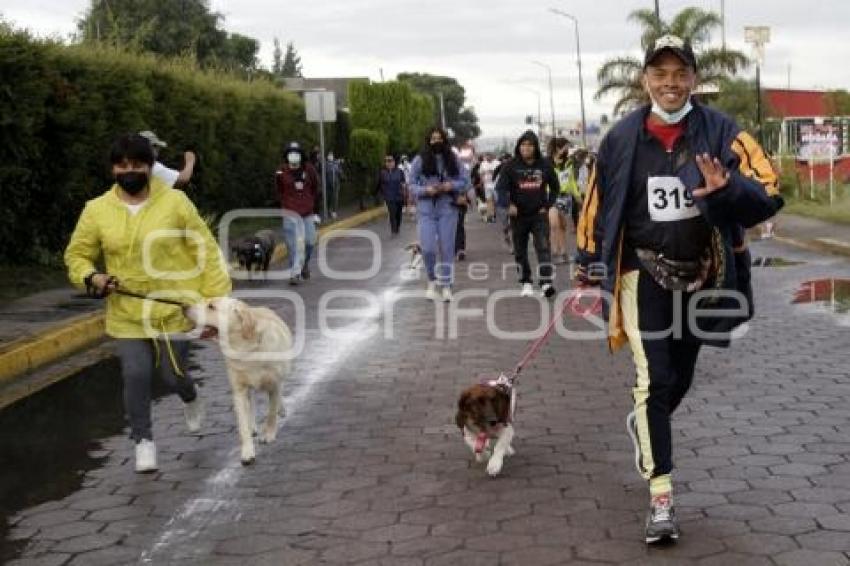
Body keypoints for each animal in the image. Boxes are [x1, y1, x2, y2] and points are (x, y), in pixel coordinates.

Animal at [184, 298, 294, 466]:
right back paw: (252, 426)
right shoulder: (239, 390)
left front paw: (268, 434)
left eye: (211, 306)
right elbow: (243, 424)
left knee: (279, 395)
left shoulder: (274, 384)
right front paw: (247, 452)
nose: (183, 306)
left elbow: (271, 412)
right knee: (251, 404)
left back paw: (281, 410)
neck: (245, 349)